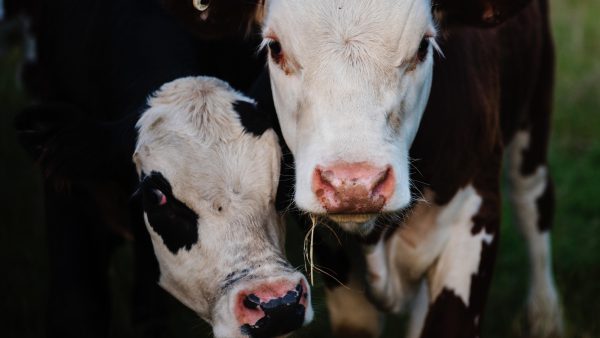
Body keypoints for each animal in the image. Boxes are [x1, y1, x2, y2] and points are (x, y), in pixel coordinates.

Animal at [258, 0, 564, 336]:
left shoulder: (474, 216)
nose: (354, 185)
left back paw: (544, 314)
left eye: (423, 46)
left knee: (531, 198)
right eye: (275, 47)